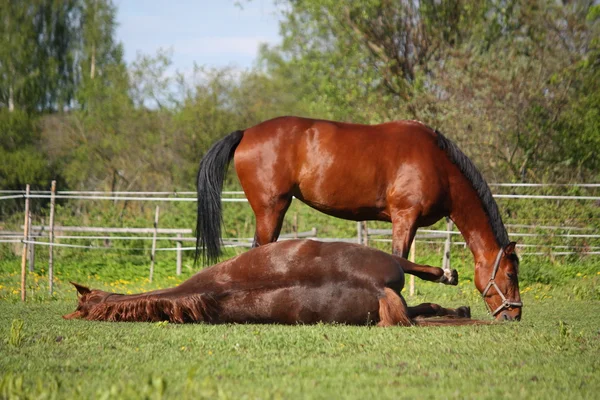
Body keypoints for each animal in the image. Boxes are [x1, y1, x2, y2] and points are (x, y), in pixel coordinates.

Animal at [196, 116, 520, 322]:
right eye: (510, 274)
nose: (515, 314)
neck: (438, 165)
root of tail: (246, 132)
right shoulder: (405, 217)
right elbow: (402, 258)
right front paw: (446, 275)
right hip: (271, 209)